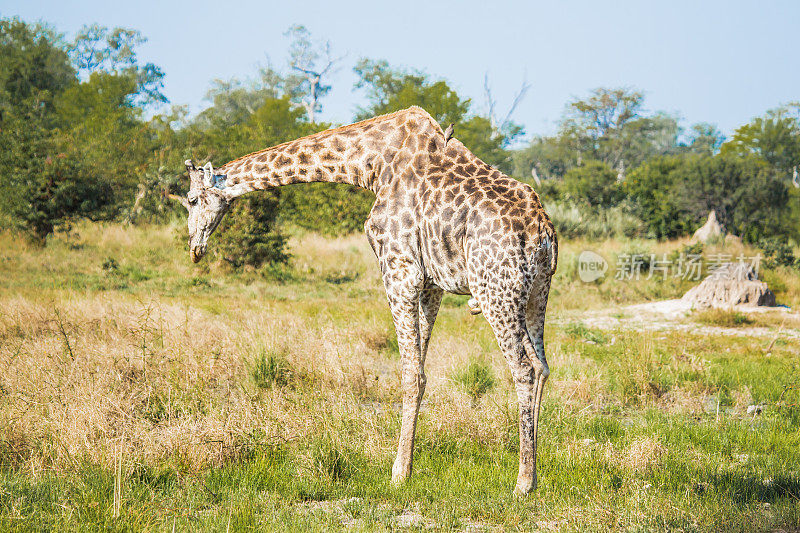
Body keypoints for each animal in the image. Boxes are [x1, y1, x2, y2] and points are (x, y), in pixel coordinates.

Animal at [183, 105, 556, 494]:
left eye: (191, 200)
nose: (194, 248)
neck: (371, 165)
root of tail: (542, 230)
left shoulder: (399, 270)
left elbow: (411, 374)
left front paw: (399, 473)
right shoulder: (431, 283)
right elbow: (420, 368)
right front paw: (407, 466)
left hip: (495, 292)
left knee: (523, 369)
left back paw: (522, 482)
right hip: (536, 292)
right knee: (541, 365)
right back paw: (536, 472)